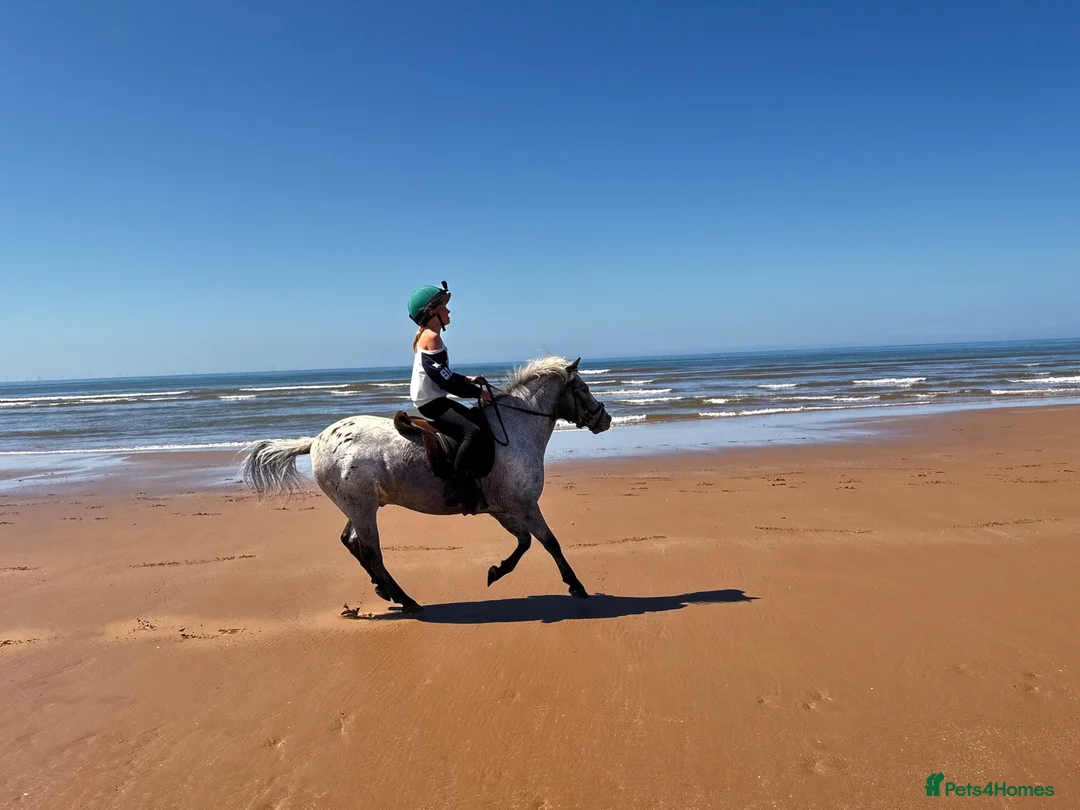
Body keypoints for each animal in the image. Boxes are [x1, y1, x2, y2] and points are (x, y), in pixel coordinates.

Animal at [240, 356, 612, 613]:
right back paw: (406, 600)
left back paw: (384, 590)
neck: (515, 428)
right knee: (371, 551)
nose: (605, 418)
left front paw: (496, 571)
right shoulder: (524, 504)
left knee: (351, 542)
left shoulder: (503, 509)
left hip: (357, 506)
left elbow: (524, 543)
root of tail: (315, 440)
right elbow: (549, 542)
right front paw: (575, 585)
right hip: (362, 507)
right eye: (583, 388)